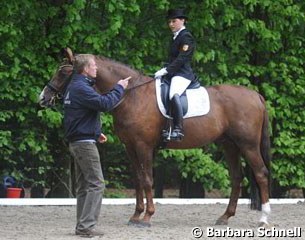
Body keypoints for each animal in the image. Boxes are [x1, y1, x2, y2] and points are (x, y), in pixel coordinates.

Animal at [38, 48, 270, 227]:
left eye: (63, 72)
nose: (43, 98)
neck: (132, 95)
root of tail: (256, 95)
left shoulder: (144, 146)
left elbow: (148, 179)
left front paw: (147, 217)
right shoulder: (130, 147)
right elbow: (138, 180)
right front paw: (136, 215)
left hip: (248, 145)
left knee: (260, 174)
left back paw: (264, 219)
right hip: (230, 145)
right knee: (237, 178)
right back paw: (225, 217)